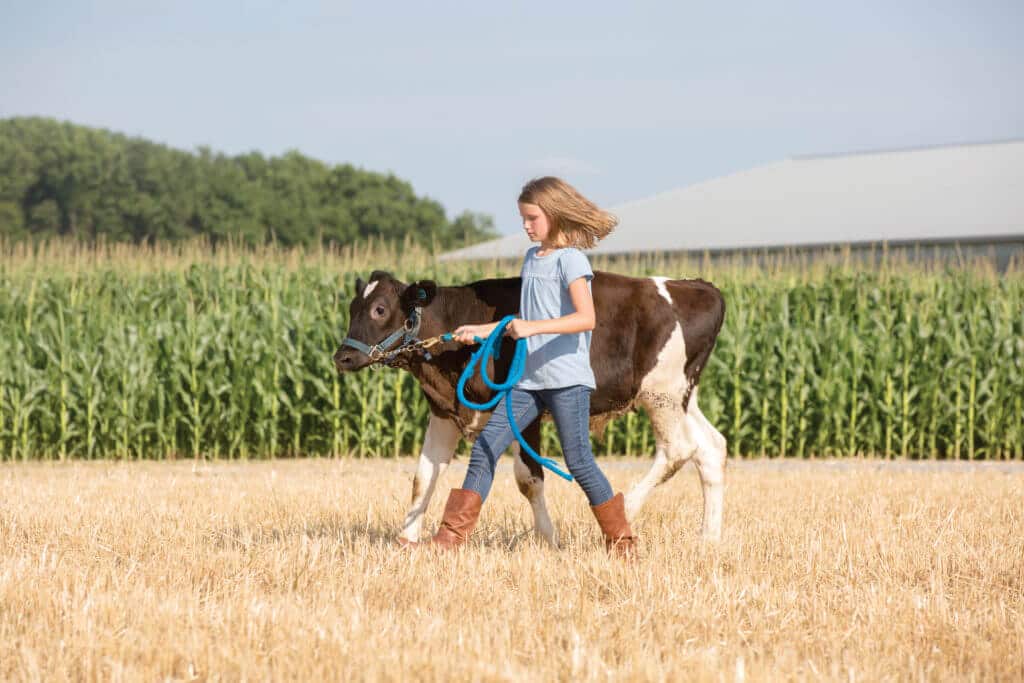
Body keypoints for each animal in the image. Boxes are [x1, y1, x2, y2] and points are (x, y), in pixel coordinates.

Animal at [333, 269, 727, 546]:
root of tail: (694, 286)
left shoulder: (527, 413)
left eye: (380, 309)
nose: (343, 357)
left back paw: (626, 507)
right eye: (352, 308)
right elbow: (424, 476)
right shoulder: (443, 412)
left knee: (679, 449)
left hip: (661, 394)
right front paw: (407, 539)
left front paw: (548, 539)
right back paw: (708, 538)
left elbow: (529, 479)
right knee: (711, 446)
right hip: (683, 397)